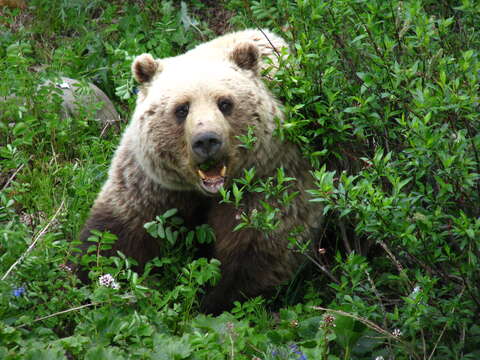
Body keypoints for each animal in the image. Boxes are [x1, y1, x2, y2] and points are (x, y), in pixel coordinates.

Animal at [79, 28, 322, 316]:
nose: (206, 140)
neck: (206, 192)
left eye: (225, 103)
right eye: (182, 108)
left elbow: (261, 247)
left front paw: (212, 301)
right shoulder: (151, 183)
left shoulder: (269, 174)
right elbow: (115, 235)